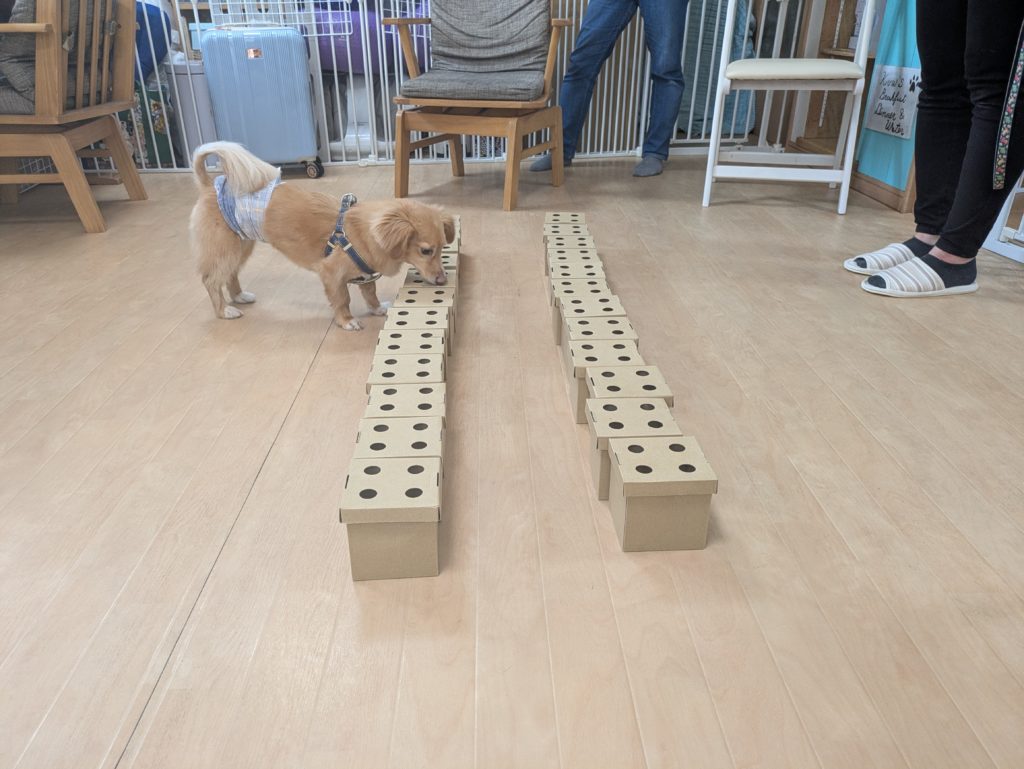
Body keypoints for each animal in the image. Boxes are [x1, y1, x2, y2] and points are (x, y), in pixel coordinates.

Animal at [189, 141, 454, 329]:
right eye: (425, 250)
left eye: (442, 248)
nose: (443, 280)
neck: (361, 233)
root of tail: (208, 186)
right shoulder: (331, 273)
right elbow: (342, 299)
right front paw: (347, 321)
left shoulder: (366, 274)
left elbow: (370, 294)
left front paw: (378, 309)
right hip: (225, 248)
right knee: (211, 279)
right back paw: (224, 310)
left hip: (241, 246)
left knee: (230, 274)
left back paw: (239, 296)